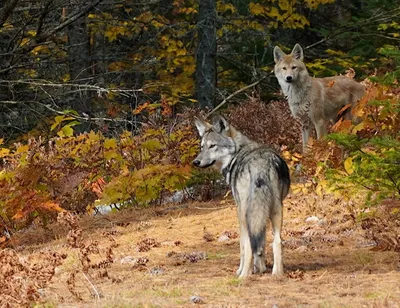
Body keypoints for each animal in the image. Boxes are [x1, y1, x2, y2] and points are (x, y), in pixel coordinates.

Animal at [192, 115, 290, 280]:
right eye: (202, 147)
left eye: (212, 146)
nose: (196, 162)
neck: (236, 153)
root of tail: (260, 163)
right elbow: (261, 242)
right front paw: (260, 268)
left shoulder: (238, 209)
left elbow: (243, 245)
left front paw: (243, 270)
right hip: (276, 210)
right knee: (276, 241)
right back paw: (277, 273)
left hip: (245, 212)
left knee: (248, 243)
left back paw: (243, 275)